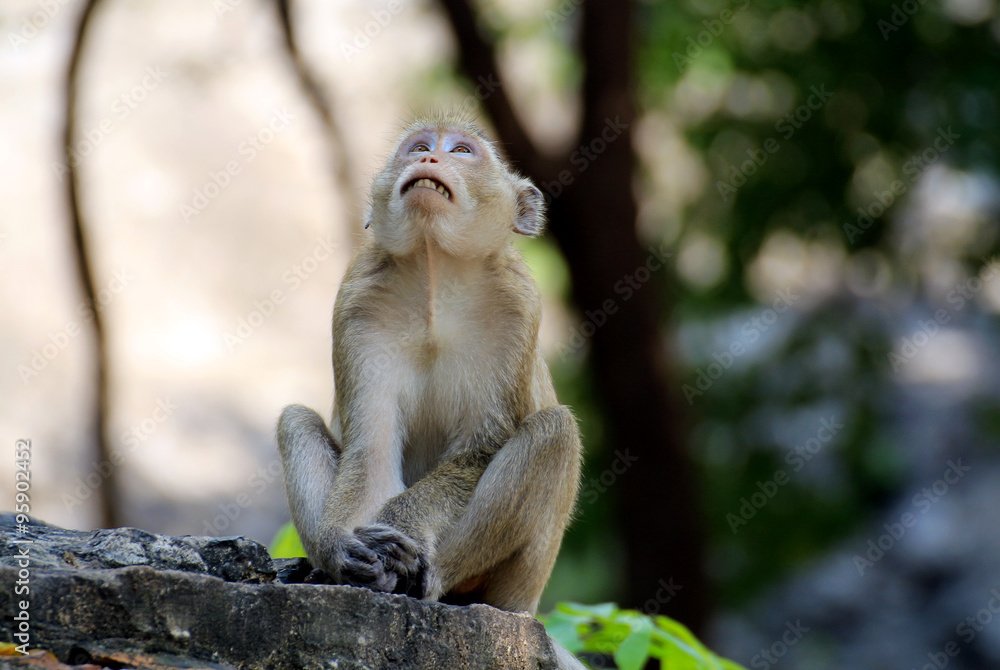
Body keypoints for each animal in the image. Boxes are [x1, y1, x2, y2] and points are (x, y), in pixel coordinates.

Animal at [276, 115, 582, 623]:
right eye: (418, 147)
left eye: (461, 151)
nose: (430, 157)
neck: (436, 275)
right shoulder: (357, 302)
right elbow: (371, 454)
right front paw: (342, 547)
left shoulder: (519, 306)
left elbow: (477, 451)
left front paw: (398, 526)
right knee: (295, 421)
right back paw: (329, 568)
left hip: (519, 584)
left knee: (554, 432)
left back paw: (426, 576)